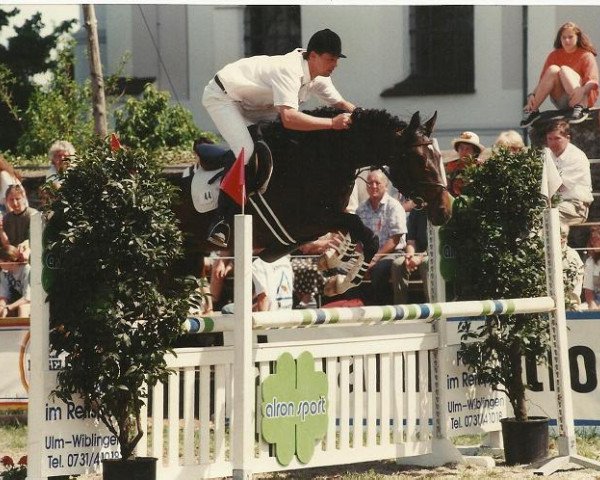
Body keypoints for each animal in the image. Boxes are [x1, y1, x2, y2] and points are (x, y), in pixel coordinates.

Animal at [172, 107, 450, 294]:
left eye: (438, 157)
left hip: (188, 259)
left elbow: (352, 232)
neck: (318, 159)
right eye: (420, 160)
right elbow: (368, 236)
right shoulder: (308, 222)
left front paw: (333, 262)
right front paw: (343, 282)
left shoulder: (325, 221)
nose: (445, 210)